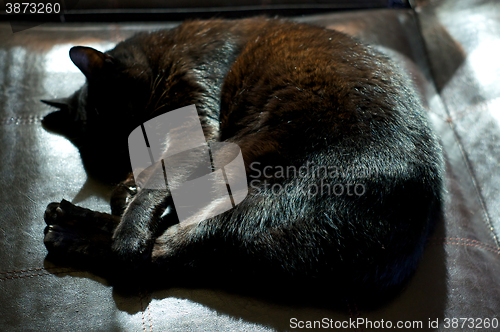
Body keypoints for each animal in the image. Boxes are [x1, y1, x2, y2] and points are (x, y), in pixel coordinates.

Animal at [41, 18, 444, 304]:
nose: (130, 167)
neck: (168, 53)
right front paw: (124, 194)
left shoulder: (195, 128)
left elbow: (156, 183)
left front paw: (129, 214)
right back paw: (65, 220)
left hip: (244, 178)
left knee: (165, 250)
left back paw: (71, 230)